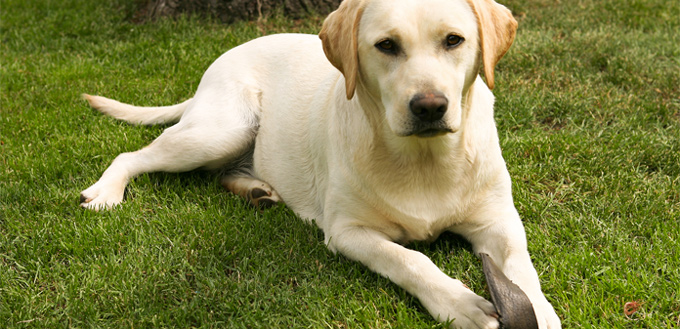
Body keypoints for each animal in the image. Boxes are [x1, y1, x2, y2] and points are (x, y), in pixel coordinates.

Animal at [78, 0, 556, 326]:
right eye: (386, 45)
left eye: (453, 40)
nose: (429, 107)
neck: (424, 161)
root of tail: (219, 62)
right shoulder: (348, 232)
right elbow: (409, 260)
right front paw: (461, 304)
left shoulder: (498, 221)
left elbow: (520, 266)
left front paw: (538, 309)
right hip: (221, 129)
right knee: (134, 155)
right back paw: (107, 192)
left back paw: (257, 190)